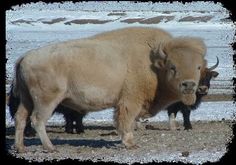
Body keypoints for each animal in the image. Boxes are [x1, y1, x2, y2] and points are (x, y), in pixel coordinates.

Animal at [13, 27, 206, 152]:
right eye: (173, 67)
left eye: (198, 67)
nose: (189, 85)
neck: (153, 63)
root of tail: (26, 56)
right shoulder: (130, 101)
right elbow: (126, 121)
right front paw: (130, 143)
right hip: (46, 101)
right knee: (37, 120)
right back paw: (50, 147)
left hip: (27, 99)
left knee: (20, 118)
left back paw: (21, 148)